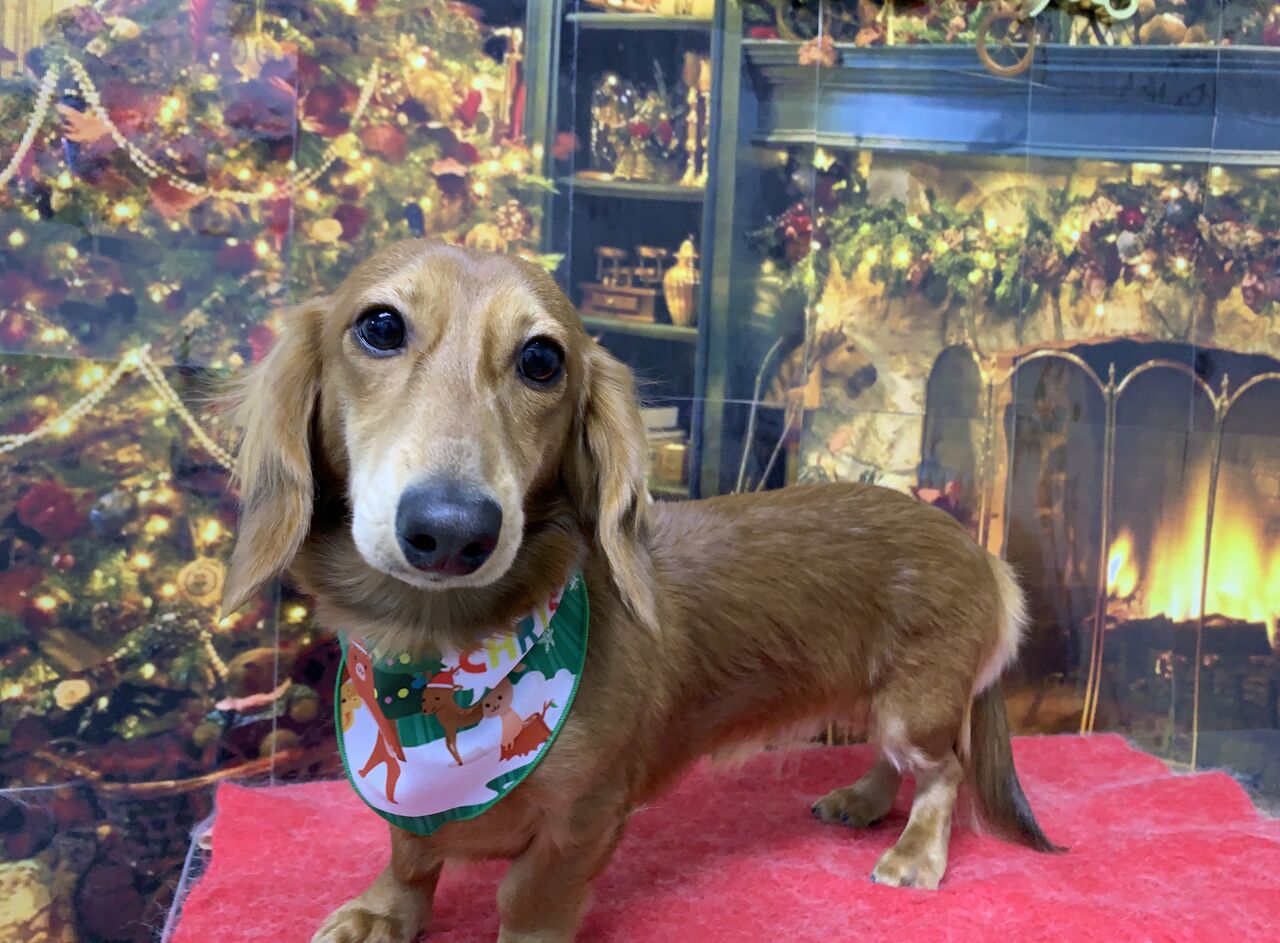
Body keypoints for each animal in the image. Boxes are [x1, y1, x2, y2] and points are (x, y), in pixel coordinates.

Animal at [221, 240, 1059, 943]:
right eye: (380, 326)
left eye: (541, 359)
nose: (452, 529)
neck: (436, 646)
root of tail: (979, 550)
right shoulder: (408, 800)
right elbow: (410, 855)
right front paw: (384, 912)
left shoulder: (584, 818)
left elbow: (529, 900)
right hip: (880, 703)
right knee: (896, 760)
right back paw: (862, 799)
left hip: (915, 703)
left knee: (942, 770)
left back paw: (915, 851)